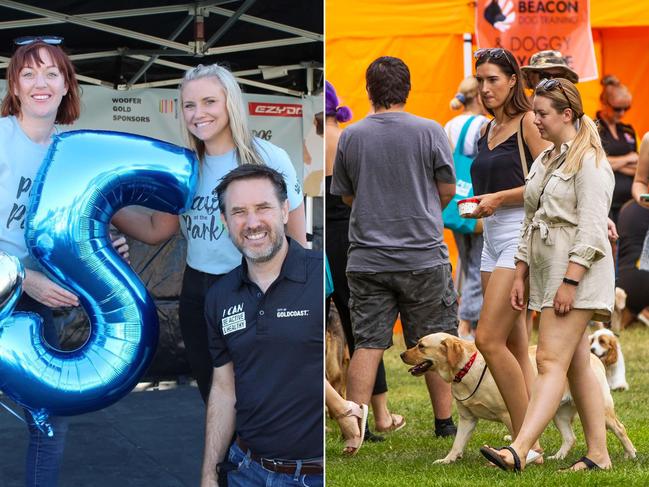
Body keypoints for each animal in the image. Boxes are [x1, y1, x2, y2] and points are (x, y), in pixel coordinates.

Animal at [398, 332, 636, 466]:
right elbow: (457, 444)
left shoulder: (507, 413)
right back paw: (557, 458)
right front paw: (447, 460)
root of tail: (592, 357)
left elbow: (516, 435)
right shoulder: (467, 418)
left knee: (620, 428)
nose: (401, 354)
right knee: (570, 438)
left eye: (420, 346)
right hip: (556, 411)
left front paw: (514, 457)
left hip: (601, 409)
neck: (466, 368)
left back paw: (631, 454)